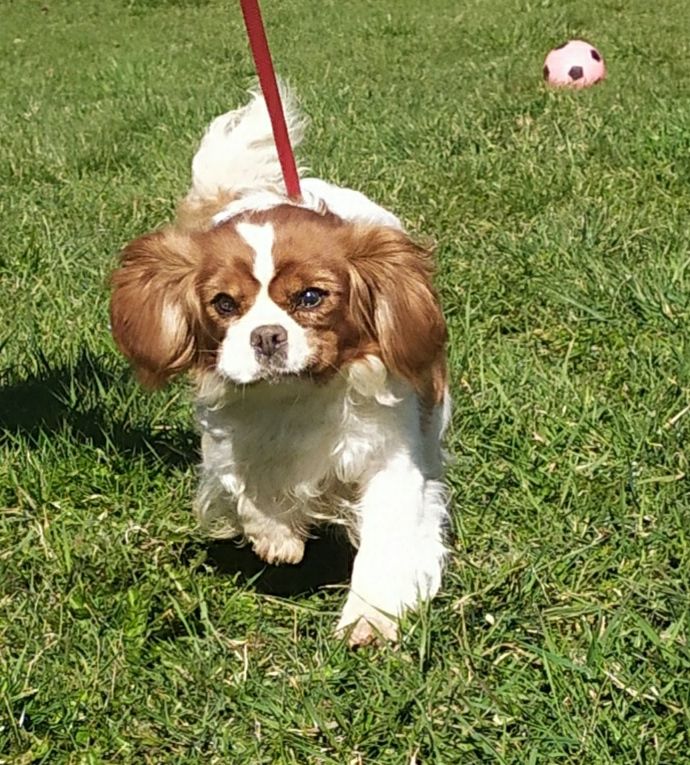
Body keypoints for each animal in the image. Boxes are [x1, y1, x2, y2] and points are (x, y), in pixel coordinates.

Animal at [110, 89, 450, 646]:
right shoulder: (230, 436)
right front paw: (277, 537)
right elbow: (248, 483)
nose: (267, 335)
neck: (299, 396)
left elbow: (387, 541)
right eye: (225, 305)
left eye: (311, 298)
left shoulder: (390, 458)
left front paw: (370, 618)